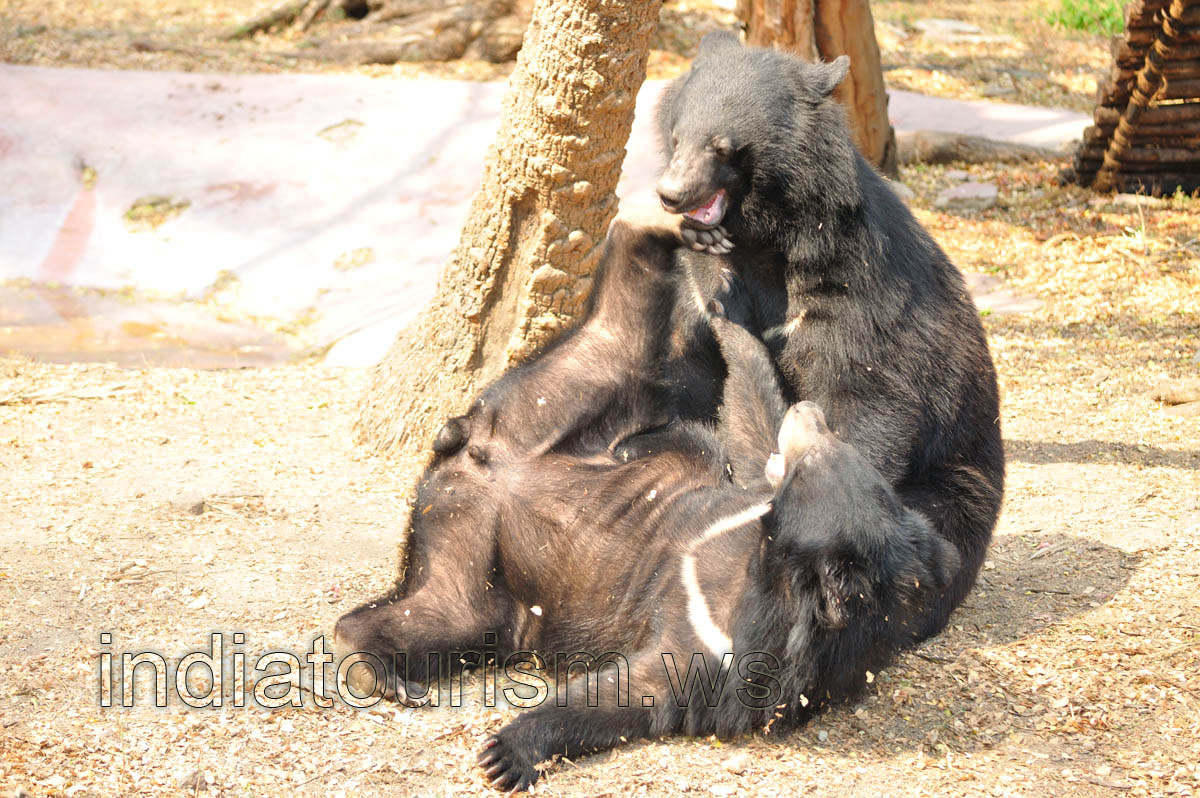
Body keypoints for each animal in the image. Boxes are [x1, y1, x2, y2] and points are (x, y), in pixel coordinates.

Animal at [334, 220, 960, 791]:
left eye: (816, 462)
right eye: (834, 449)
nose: (809, 412)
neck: (763, 561)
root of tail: (475, 449)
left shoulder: (718, 647)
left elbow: (636, 689)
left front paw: (506, 751)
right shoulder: (739, 499)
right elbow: (748, 432)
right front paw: (730, 308)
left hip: (481, 553)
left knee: (443, 611)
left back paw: (382, 666)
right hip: (558, 416)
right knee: (625, 324)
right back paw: (676, 233)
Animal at [653, 31, 1005, 641]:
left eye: (723, 147)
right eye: (676, 138)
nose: (671, 194)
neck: (767, 239)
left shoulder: (853, 287)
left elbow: (870, 393)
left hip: (959, 481)